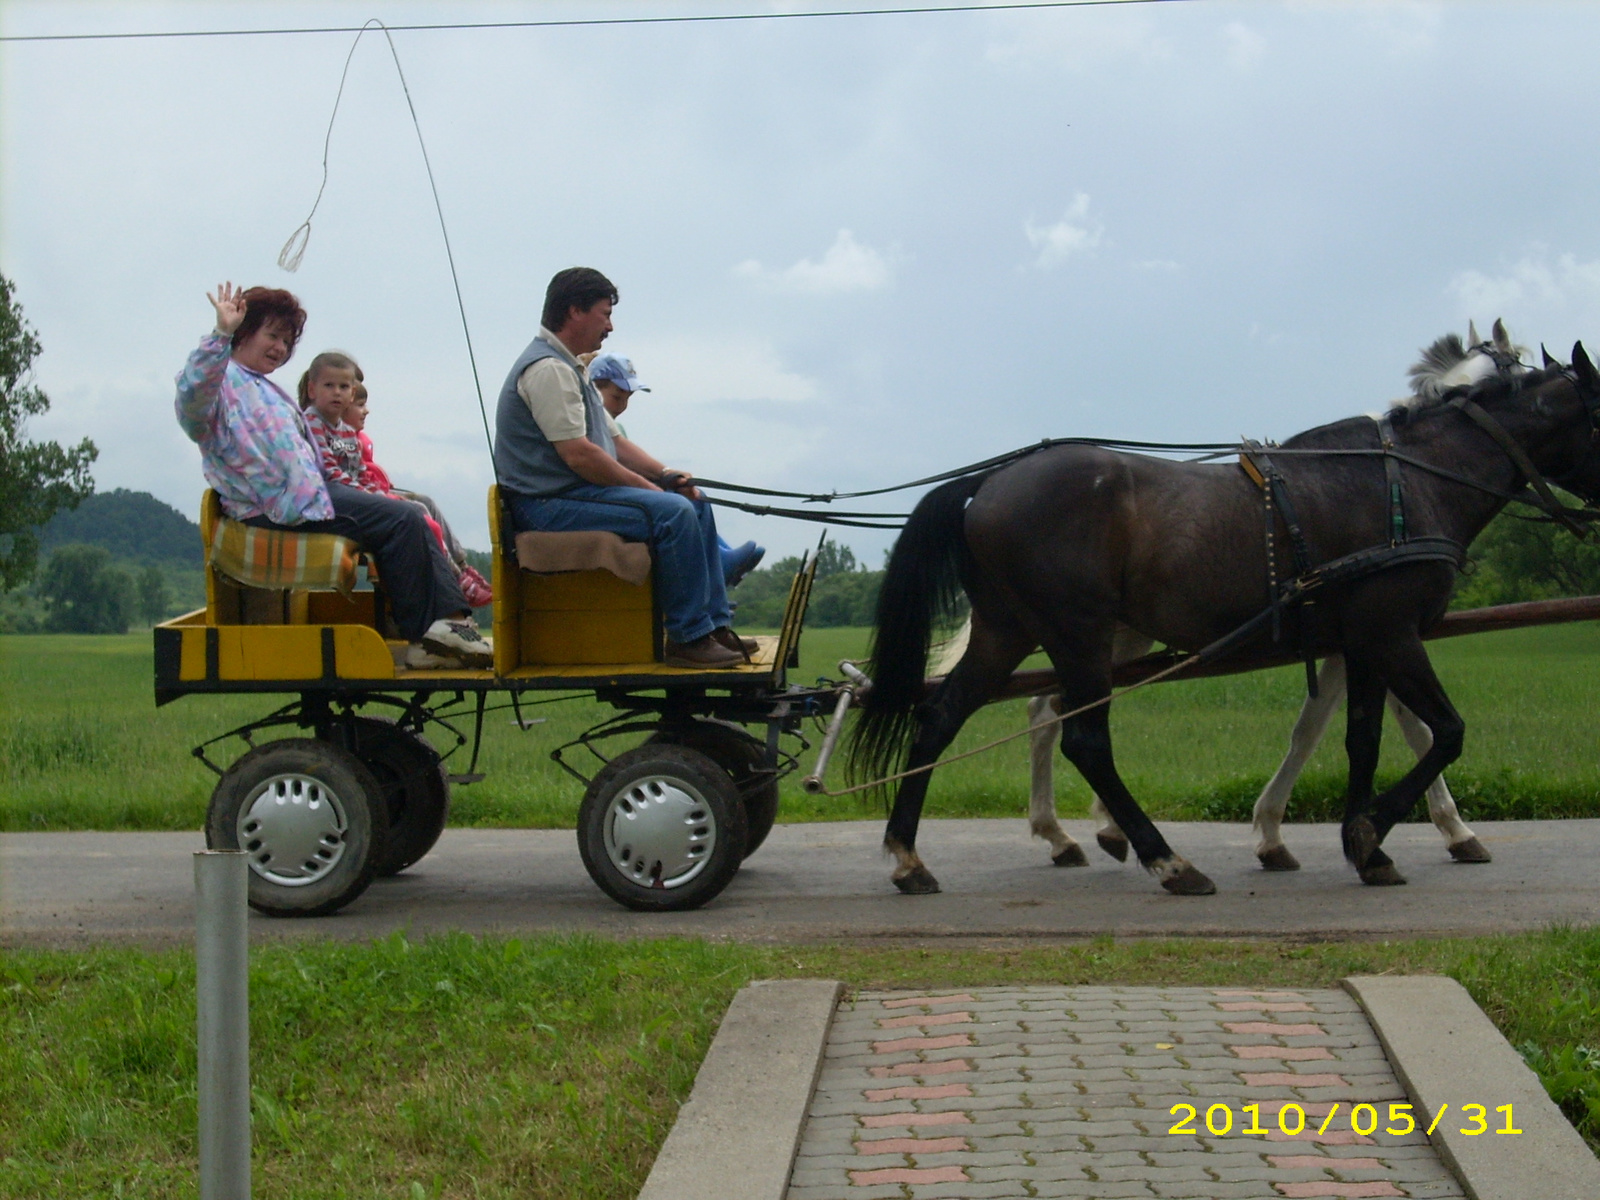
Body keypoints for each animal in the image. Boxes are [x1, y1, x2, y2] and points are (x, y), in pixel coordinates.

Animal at [851, 342, 1600, 896]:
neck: (1409, 480)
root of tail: (991, 482)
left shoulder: (1359, 642)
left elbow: (1360, 740)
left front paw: (1366, 845)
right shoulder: (1391, 633)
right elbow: (1444, 732)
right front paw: (1374, 831)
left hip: (1011, 631)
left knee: (943, 717)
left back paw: (910, 856)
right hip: (1078, 634)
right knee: (1083, 739)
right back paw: (1165, 860)